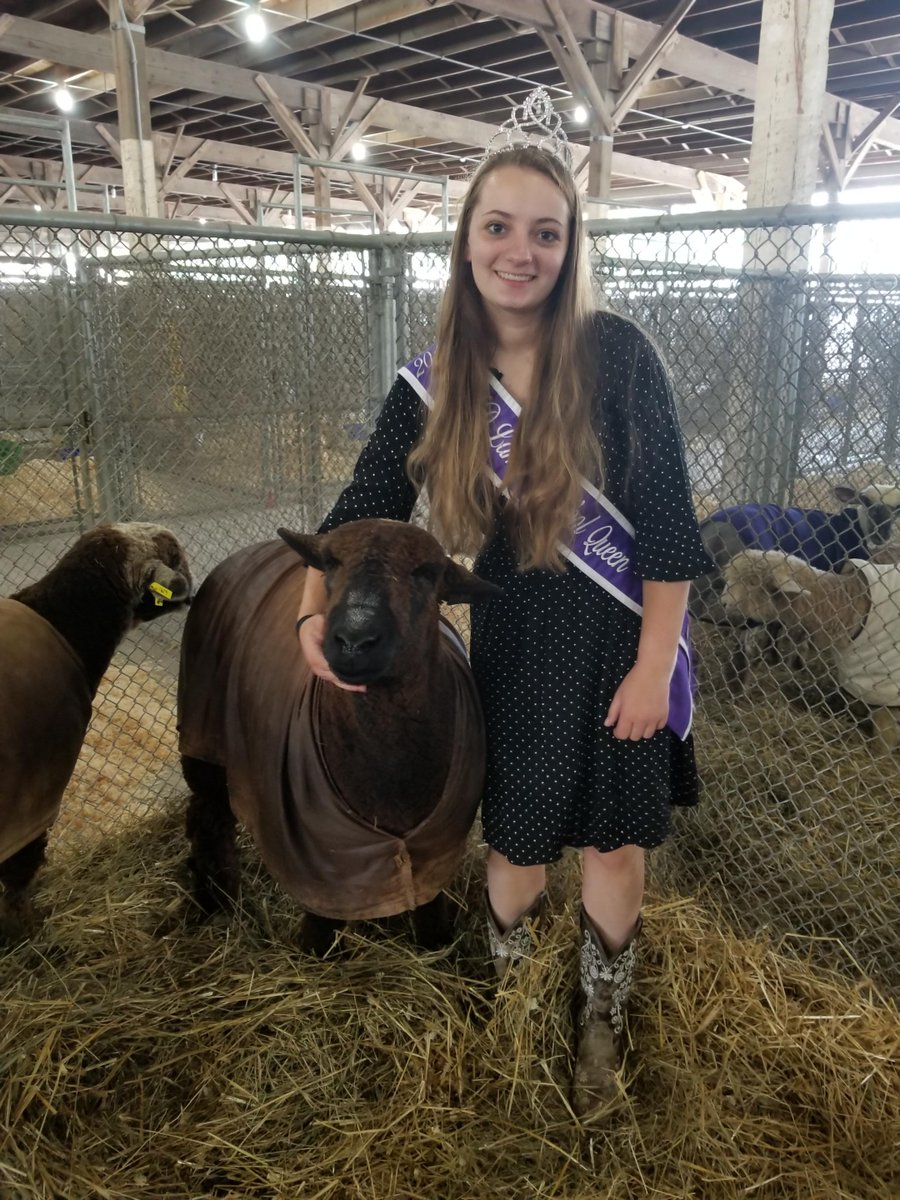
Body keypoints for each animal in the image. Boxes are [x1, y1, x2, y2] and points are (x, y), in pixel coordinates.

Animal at [0, 523, 193, 939]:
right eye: (174, 558)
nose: (190, 590)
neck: (63, 623)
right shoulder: (32, 803)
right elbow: (19, 880)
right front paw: (27, 931)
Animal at [177, 518, 501, 955]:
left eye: (427, 573)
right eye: (329, 563)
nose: (353, 642)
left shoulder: (434, 850)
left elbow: (430, 909)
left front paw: (437, 949)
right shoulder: (318, 859)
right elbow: (321, 917)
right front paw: (317, 955)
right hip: (203, 745)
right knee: (207, 816)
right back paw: (215, 899)